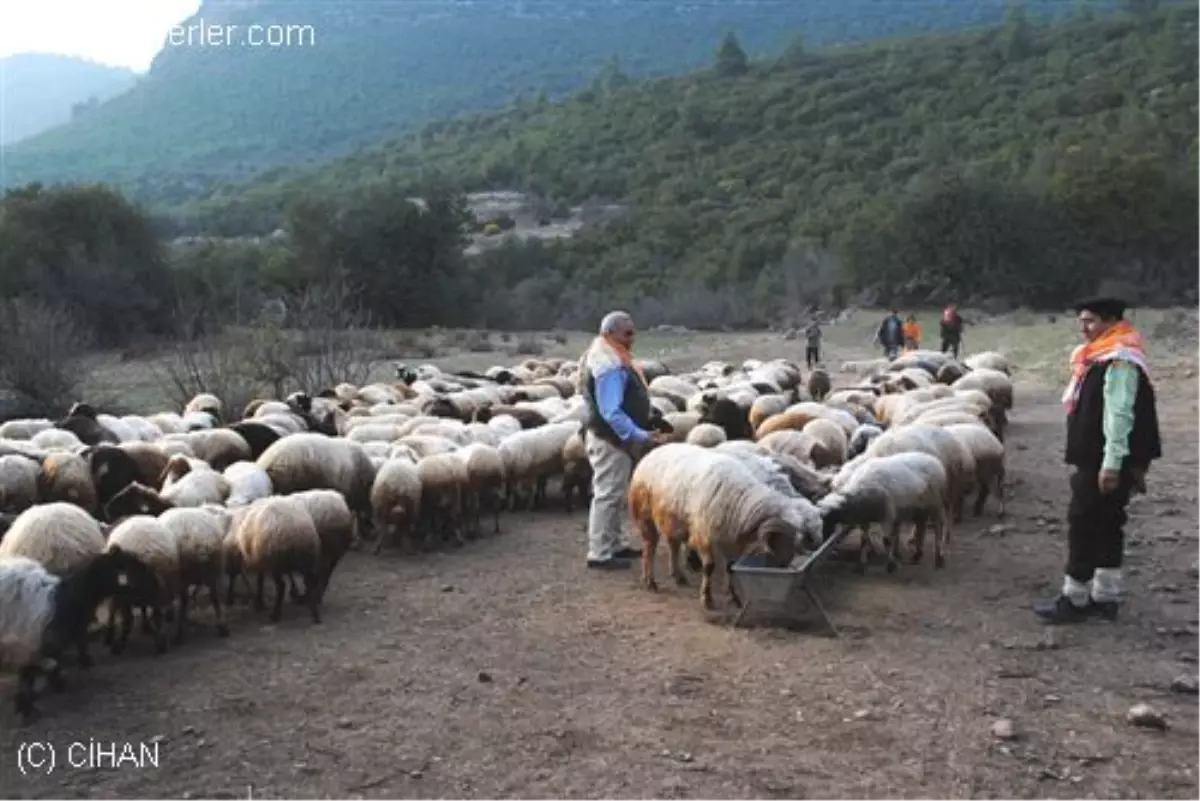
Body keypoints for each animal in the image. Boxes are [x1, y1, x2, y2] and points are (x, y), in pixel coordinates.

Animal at [624, 443, 820, 606]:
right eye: (785, 539)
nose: (783, 564)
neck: (740, 499)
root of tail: (654, 451)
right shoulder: (704, 535)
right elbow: (709, 567)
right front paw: (707, 599)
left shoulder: (730, 538)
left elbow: (730, 568)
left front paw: (733, 597)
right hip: (646, 516)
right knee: (650, 547)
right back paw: (650, 581)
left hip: (675, 519)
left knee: (673, 545)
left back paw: (678, 576)